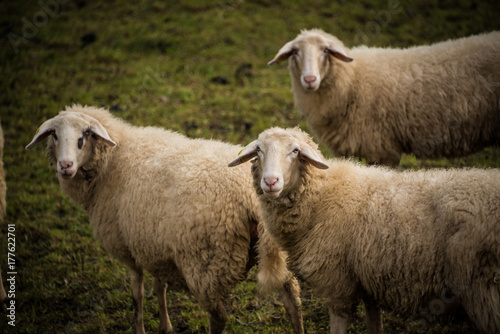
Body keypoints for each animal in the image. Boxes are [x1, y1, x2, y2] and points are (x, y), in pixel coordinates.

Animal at [26, 106, 304, 334]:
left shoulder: (127, 247)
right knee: (293, 301)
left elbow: (137, 293)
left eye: (83, 136)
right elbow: (160, 286)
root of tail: (250, 196)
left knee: (219, 317)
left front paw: (140, 329)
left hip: (205, 262)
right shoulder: (154, 244)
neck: (113, 160)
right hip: (276, 248)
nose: (65, 166)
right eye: (54, 135)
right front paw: (165, 326)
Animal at [229, 126, 500, 332]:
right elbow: (374, 323)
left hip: (483, 291)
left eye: (295, 151)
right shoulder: (369, 279)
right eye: (259, 150)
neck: (321, 197)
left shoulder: (337, 282)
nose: (270, 182)